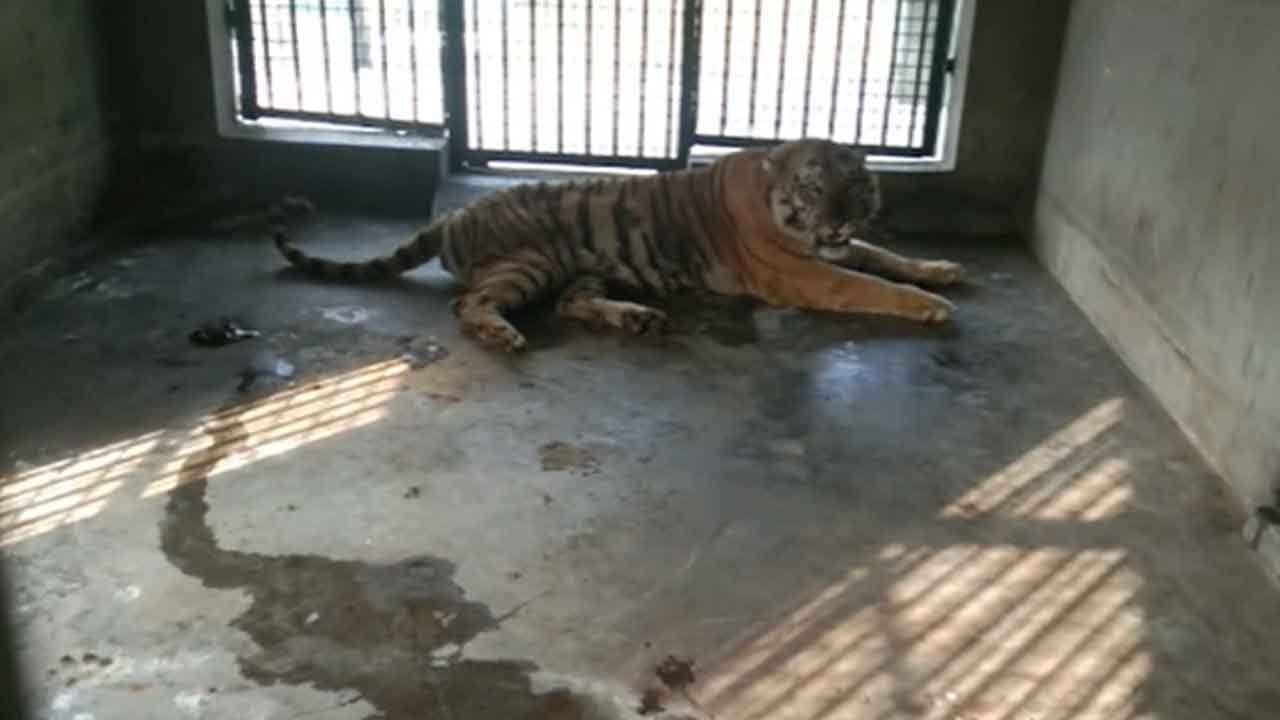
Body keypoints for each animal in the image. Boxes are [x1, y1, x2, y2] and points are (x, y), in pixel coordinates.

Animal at [274, 138, 964, 352]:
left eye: (855, 186)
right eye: (813, 187)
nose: (836, 222)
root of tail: (455, 215)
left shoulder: (831, 253)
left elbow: (884, 259)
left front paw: (941, 269)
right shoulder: (805, 274)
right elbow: (871, 283)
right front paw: (932, 305)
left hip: (583, 267)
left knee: (570, 303)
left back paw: (638, 318)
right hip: (531, 260)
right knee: (468, 305)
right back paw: (501, 334)